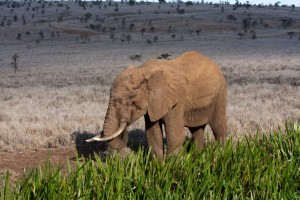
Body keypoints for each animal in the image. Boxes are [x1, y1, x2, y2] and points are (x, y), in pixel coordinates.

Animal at [86, 50, 227, 160]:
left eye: (131, 100)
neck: (143, 71)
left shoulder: (176, 100)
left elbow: (175, 136)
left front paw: (170, 168)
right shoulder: (152, 104)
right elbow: (153, 135)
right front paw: (158, 167)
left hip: (220, 93)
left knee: (218, 128)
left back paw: (220, 157)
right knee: (197, 130)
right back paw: (198, 157)